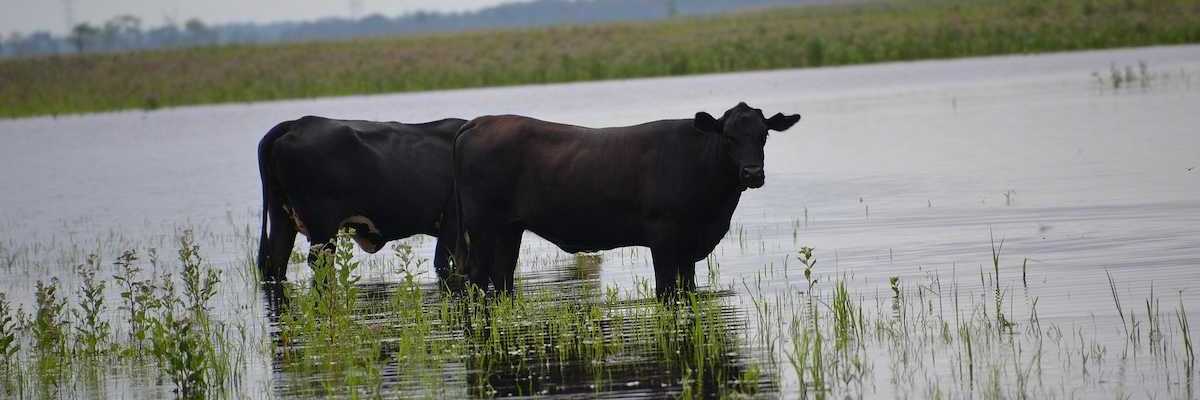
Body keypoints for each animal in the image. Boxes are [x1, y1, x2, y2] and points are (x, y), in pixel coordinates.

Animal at [256, 115, 466, 282]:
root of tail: (296, 123)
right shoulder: (451, 224)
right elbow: (443, 262)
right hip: (322, 227)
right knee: (319, 264)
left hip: (281, 217)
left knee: (276, 261)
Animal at [453, 102, 801, 298]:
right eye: (728, 136)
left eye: (764, 135)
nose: (752, 173)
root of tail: (480, 121)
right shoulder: (663, 236)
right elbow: (665, 289)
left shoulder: (689, 244)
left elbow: (687, 287)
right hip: (482, 225)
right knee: (478, 277)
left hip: (509, 228)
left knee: (502, 276)